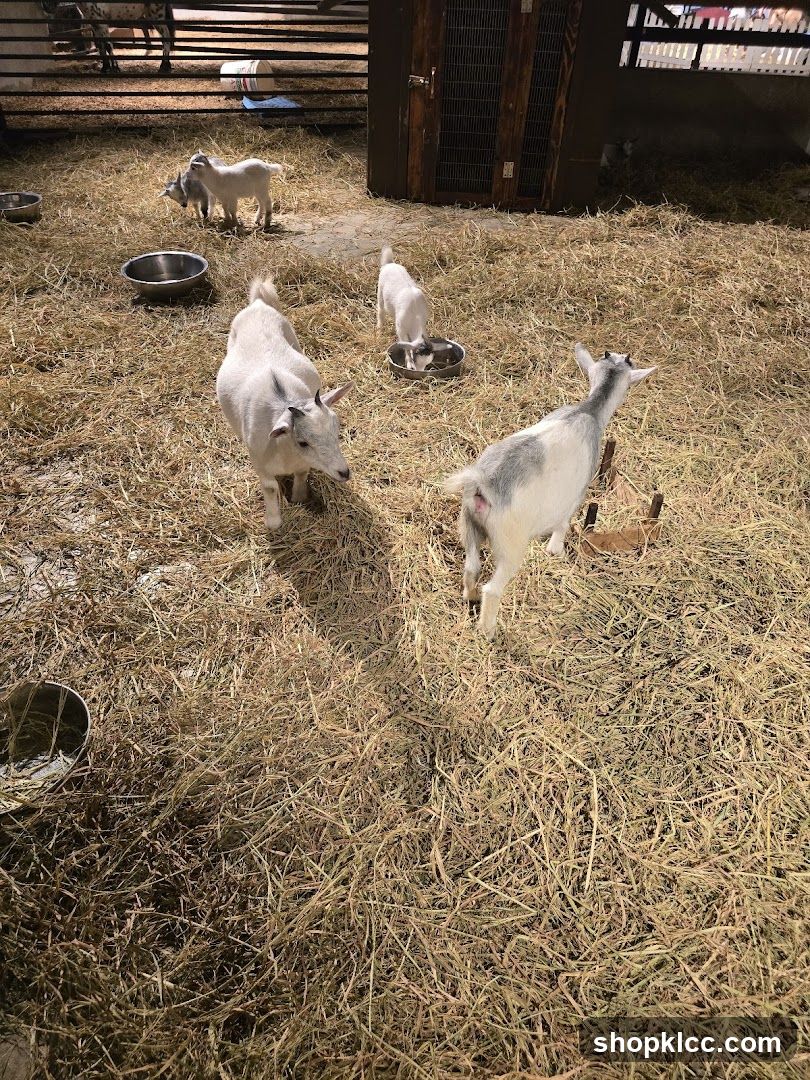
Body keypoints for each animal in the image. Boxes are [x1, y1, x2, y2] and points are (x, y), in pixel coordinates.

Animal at [216, 277, 353, 530]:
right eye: (302, 442)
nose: (344, 472)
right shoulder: (260, 462)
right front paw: (273, 522)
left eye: (337, 432)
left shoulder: (301, 464)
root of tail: (258, 304)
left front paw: (299, 498)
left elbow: (302, 474)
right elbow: (269, 487)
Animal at [444, 344, 656, 640]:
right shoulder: (575, 496)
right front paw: (556, 551)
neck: (589, 410)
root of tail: (484, 483)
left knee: (471, 566)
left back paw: (470, 597)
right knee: (493, 588)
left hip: (469, 526)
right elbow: (563, 524)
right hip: (510, 545)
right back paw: (488, 631)